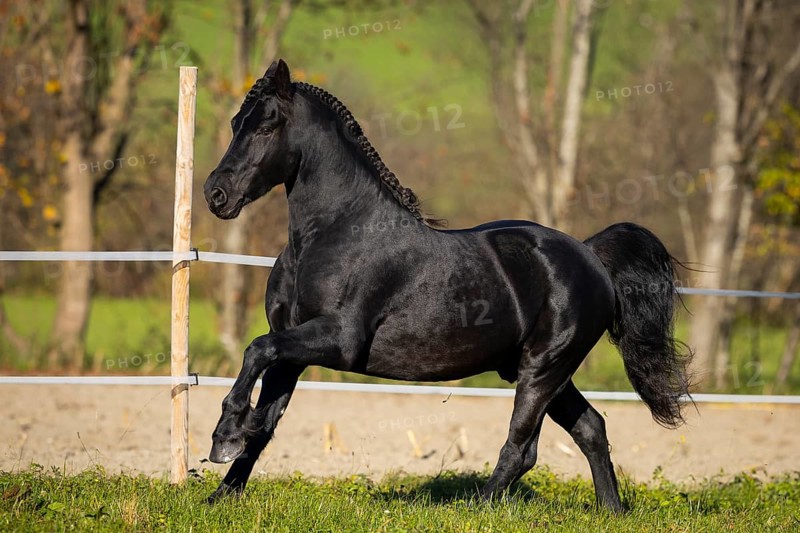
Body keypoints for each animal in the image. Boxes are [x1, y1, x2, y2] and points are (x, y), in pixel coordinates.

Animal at [202, 59, 692, 511]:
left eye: (268, 123)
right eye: (235, 123)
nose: (216, 195)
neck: (334, 233)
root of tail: (591, 257)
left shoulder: (338, 339)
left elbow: (256, 349)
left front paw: (223, 435)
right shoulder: (293, 349)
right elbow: (264, 420)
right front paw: (220, 494)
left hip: (544, 367)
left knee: (522, 448)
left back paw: (478, 507)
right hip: (544, 370)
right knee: (591, 428)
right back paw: (610, 509)